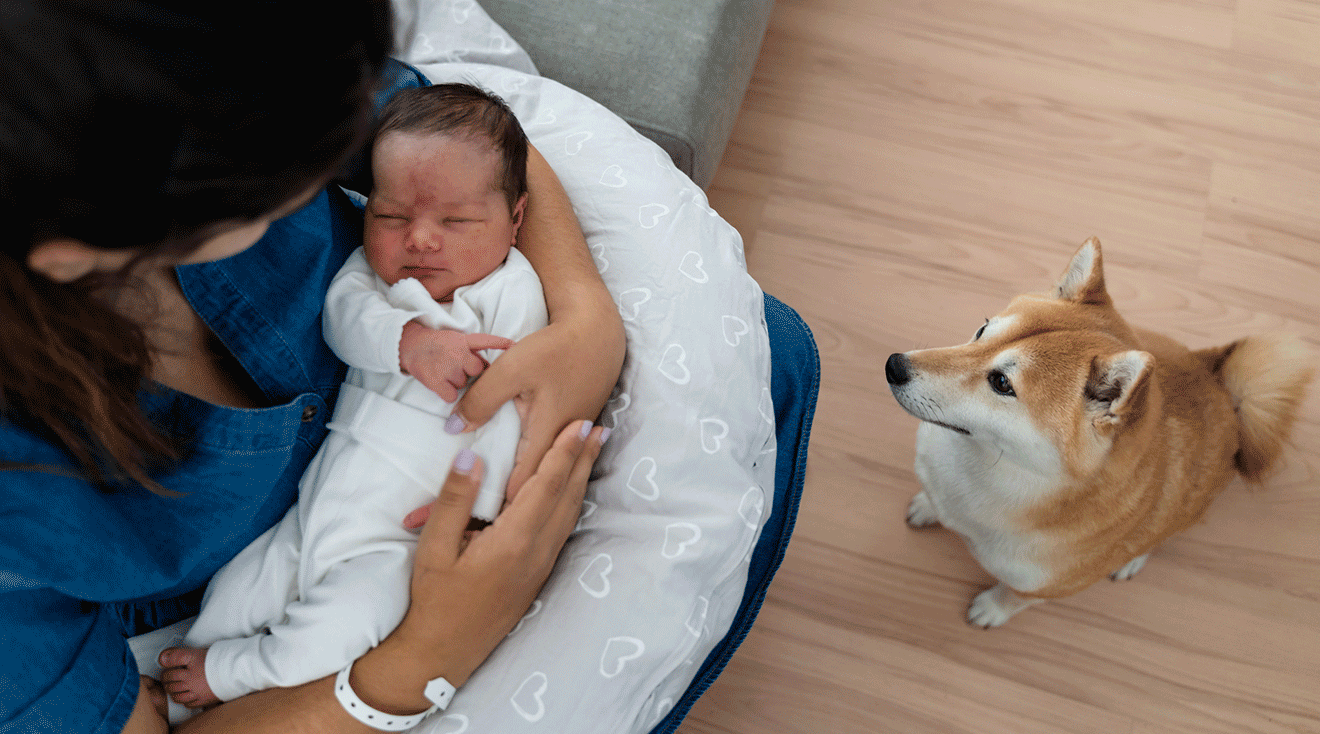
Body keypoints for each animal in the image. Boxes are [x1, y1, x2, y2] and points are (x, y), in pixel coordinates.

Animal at [887, 237, 1309, 628]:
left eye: (1002, 383)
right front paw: (928, 505)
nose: (894, 365)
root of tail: (1218, 381)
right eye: (982, 331)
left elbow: (1014, 597)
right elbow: (933, 498)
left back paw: (1132, 559)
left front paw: (993, 609)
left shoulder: (1044, 584)